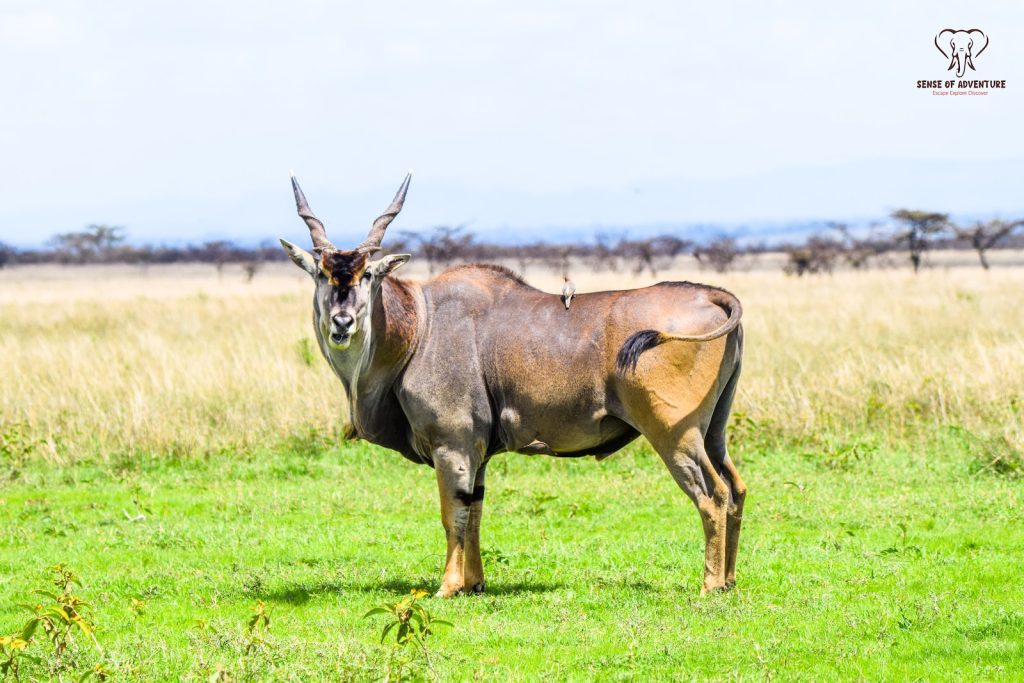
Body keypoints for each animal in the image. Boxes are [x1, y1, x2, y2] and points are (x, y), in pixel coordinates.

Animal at [279, 173, 746, 596]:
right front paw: (475, 584)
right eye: (321, 275)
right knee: (737, 488)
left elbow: (453, 515)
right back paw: (729, 580)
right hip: (713, 433)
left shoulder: (453, 447)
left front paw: (448, 587)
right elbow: (475, 511)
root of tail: (712, 295)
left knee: (713, 494)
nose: (342, 322)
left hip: (674, 435)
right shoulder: (478, 455)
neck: (419, 323)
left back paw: (709, 586)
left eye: (367, 276)